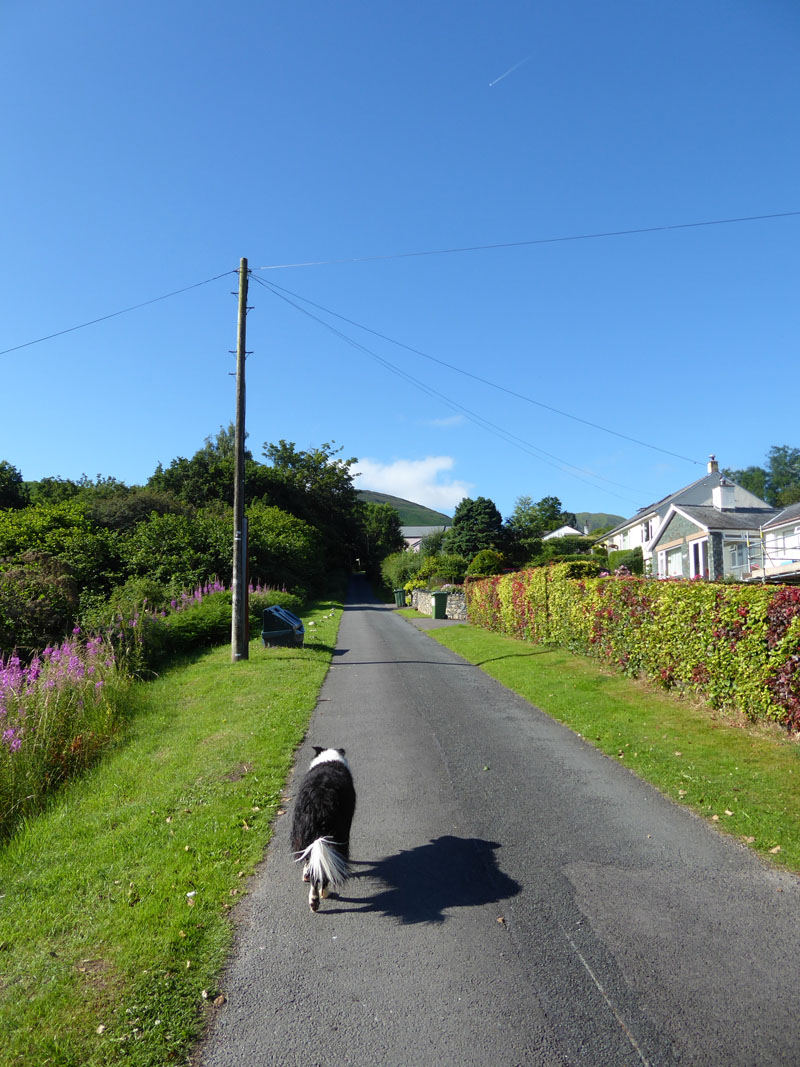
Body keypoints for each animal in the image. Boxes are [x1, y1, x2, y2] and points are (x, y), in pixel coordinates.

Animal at [292, 746, 356, 913]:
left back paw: (313, 899)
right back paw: (323, 893)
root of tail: (319, 804)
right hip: (337, 834)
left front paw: (306, 874)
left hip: (304, 831)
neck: (329, 758)